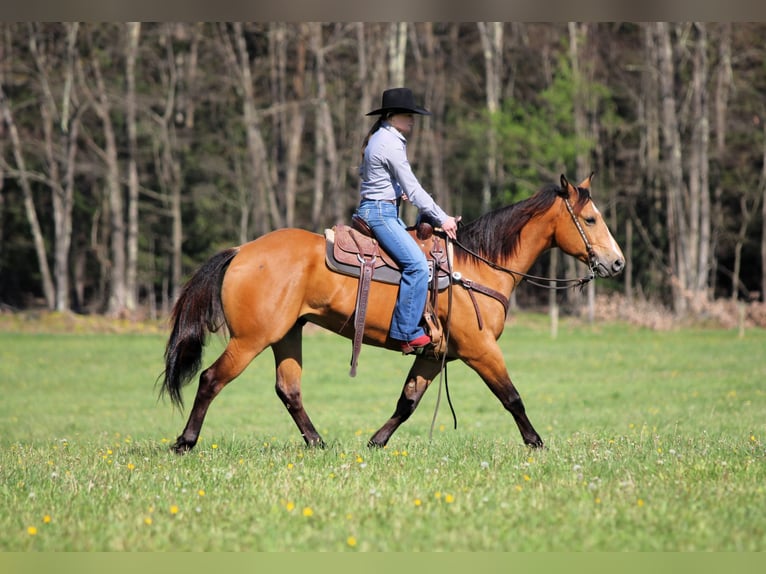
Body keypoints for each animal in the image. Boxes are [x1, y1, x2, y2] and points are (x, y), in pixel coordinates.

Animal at [160, 174, 624, 453]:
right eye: (590, 218)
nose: (617, 263)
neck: (477, 266)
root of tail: (241, 251)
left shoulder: (436, 355)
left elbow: (408, 401)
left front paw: (376, 442)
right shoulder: (480, 350)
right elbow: (512, 397)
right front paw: (537, 443)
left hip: (286, 335)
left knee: (288, 390)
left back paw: (317, 443)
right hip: (251, 339)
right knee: (211, 379)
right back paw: (185, 441)